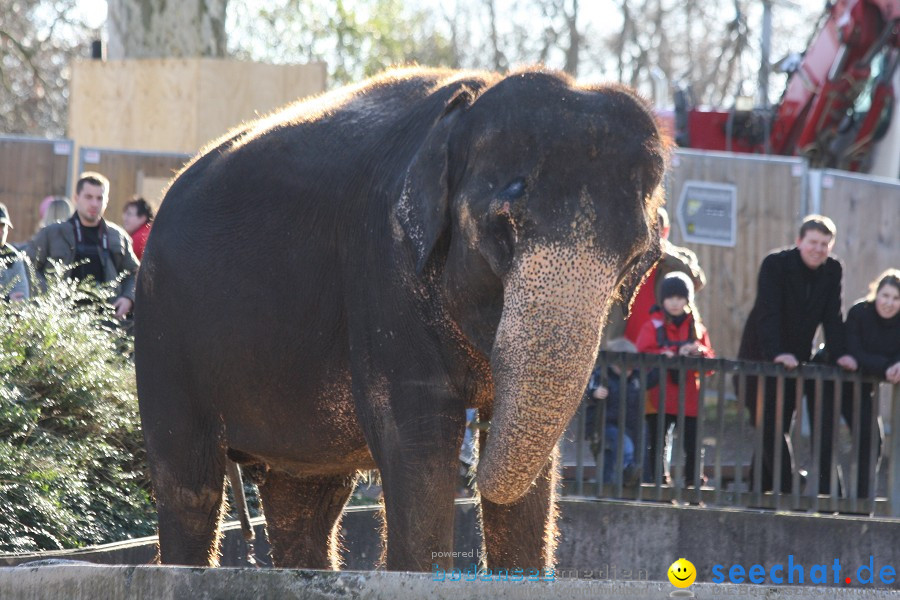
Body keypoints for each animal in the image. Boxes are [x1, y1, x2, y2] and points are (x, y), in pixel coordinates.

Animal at [135, 65, 668, 572]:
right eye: (502, 230)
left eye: (636, 256)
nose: (474, 470)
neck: (471, 102)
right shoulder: (383, 268)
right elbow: (419, 439)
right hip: (163, 328)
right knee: (191, 486)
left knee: (304, 499)